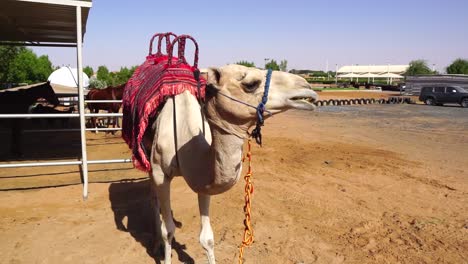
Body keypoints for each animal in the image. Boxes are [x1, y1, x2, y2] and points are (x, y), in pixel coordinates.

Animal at [144, 64, 318, 264]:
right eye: (250, 84)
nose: (306, 86)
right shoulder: (160, 173)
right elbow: (168, 231)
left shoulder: (204, 180)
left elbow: (207, 238)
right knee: (153, 199)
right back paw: (156, 243)